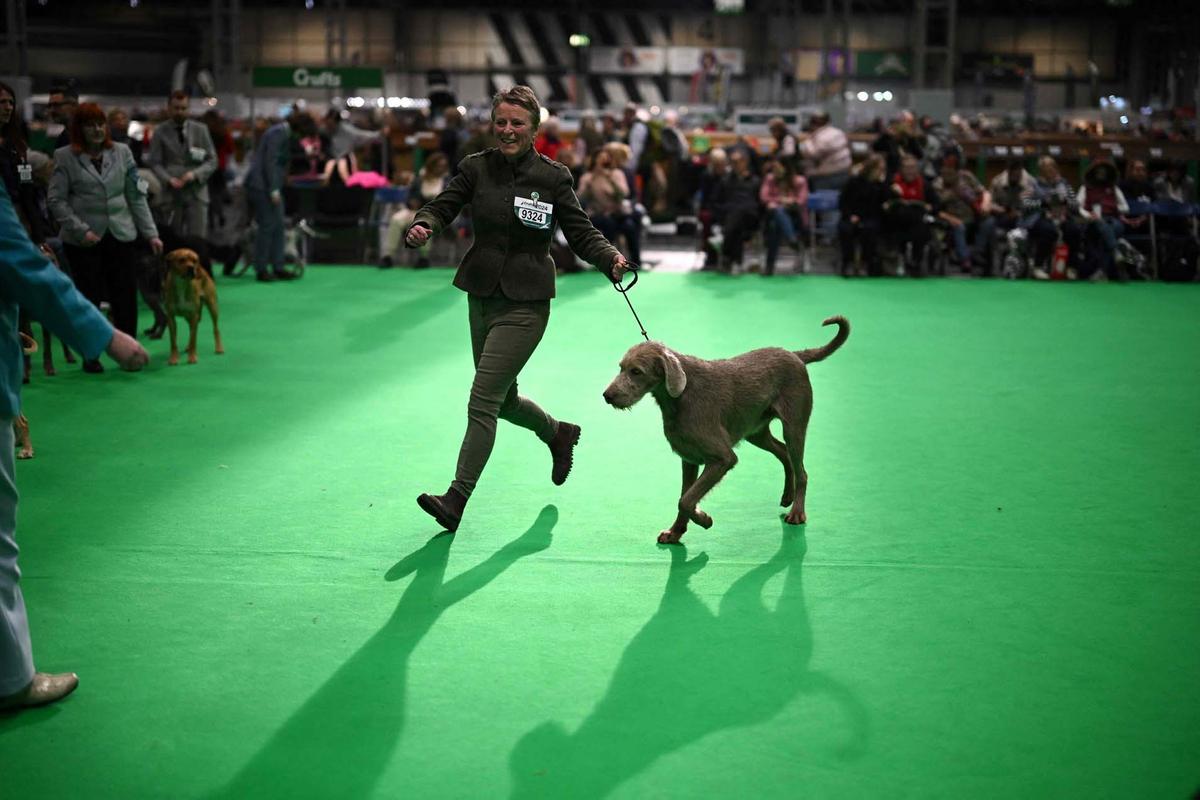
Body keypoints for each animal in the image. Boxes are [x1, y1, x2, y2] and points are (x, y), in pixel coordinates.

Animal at [604, 316, 849, 546]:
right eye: (621, 368)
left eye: (636, 371)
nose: (607, 395)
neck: (680, 395)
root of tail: (795, 355)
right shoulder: (689, 459)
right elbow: (685, 495)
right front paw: (675, 532)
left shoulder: (723, 458)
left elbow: (686, 500)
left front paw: (704, 519)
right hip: (756, 431)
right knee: (783, 452)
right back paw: (787, 496)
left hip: (794, 426)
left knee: (802, 471)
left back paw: (797, 512)